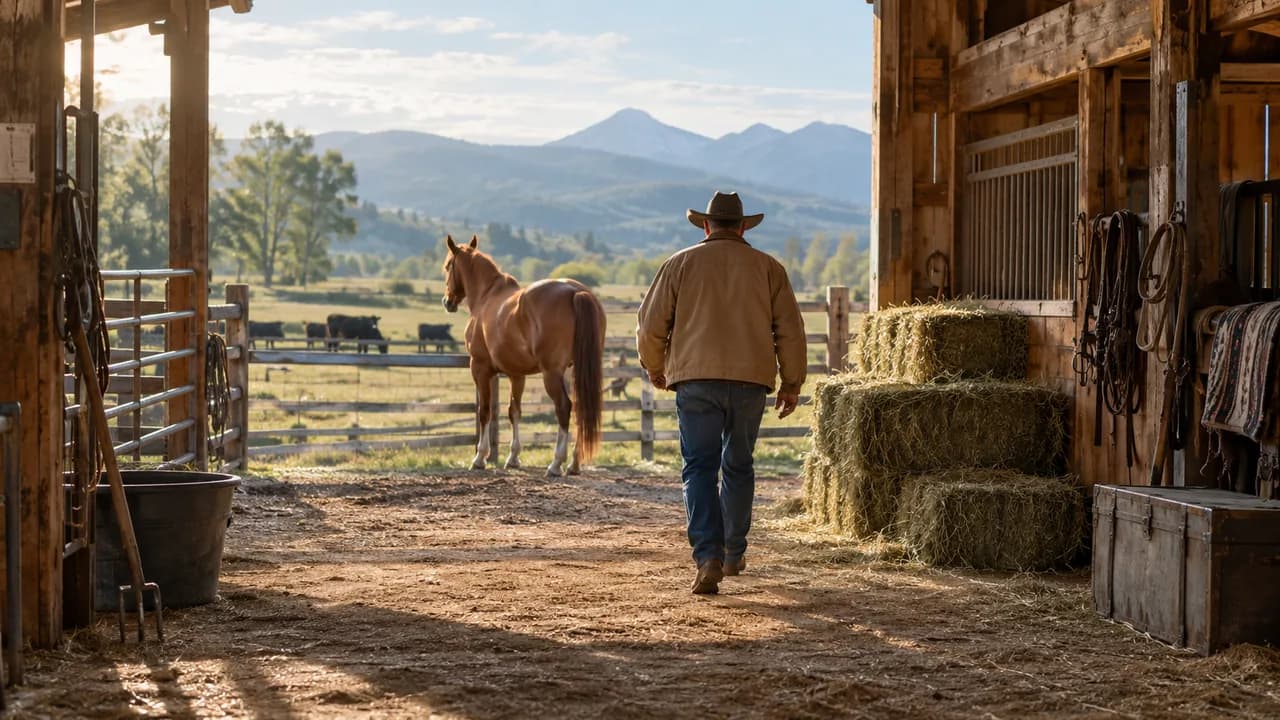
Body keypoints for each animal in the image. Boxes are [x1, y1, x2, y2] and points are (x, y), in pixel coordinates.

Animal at [441, 234, 605, 476]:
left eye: (447, 267)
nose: (447, 302)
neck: (486, 297)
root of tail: (575, 292)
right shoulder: (517, 374)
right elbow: (514, 411)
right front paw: (513, 458)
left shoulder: (480, 368)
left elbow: (485, 411)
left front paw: (480, 458)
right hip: (578, 370)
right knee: (580, 410)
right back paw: (574, 464)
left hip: (551, 373)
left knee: (564, 407)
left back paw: (556, 464)